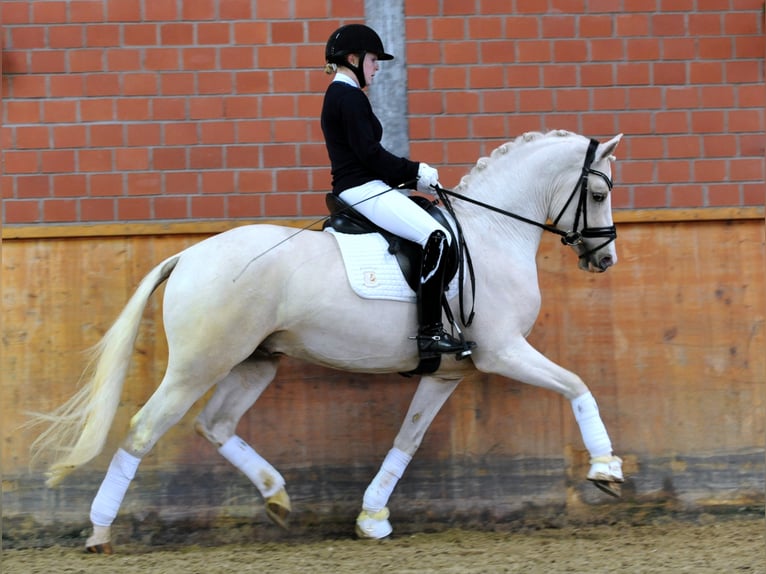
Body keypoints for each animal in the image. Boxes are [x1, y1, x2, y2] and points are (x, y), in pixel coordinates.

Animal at [31, 129, 625, 553]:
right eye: (598, 193)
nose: (605, 260)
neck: (489, 235)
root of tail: (189, 256)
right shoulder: (503, 351)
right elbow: (578, 385)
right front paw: (606, 471)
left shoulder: (447, 373)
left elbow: (407, 441)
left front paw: (372, 517)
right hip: (198, 366)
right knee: (143, 430)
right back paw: (100, 532)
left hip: (256, 362)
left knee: (216, 424)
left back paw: (277, 497)